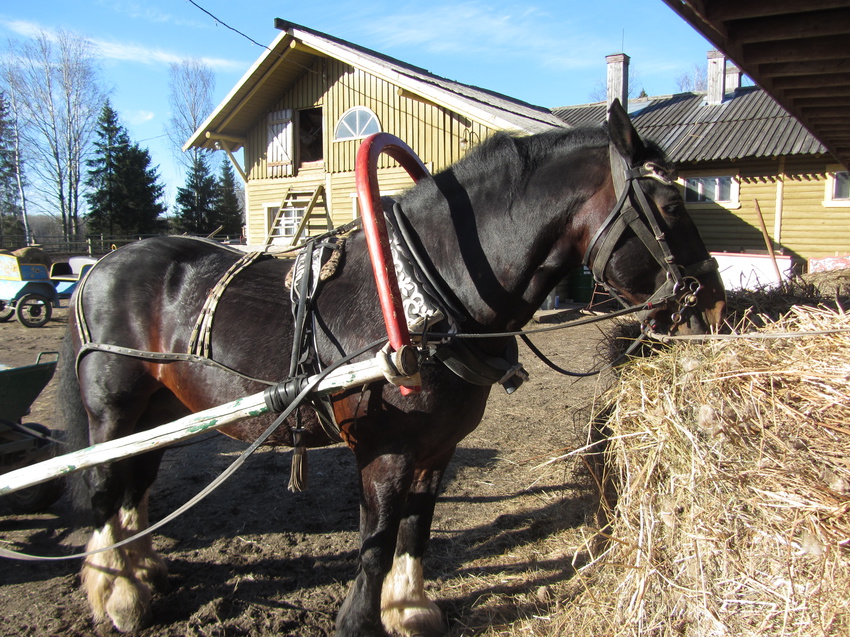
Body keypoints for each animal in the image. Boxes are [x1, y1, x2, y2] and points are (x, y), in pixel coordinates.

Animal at [58, 102, 724, 632]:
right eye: (670, 204)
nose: (715, 304)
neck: (424, 295)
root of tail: (99, 266)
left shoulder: (439, 448)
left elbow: (415, 529)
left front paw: (410, 609)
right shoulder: (387, 452)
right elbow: (375, 545)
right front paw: (360, 620)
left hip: (160, 410)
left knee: (136, 482)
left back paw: (143, 571)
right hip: (113, 411)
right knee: (104, 487)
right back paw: (117, 593)